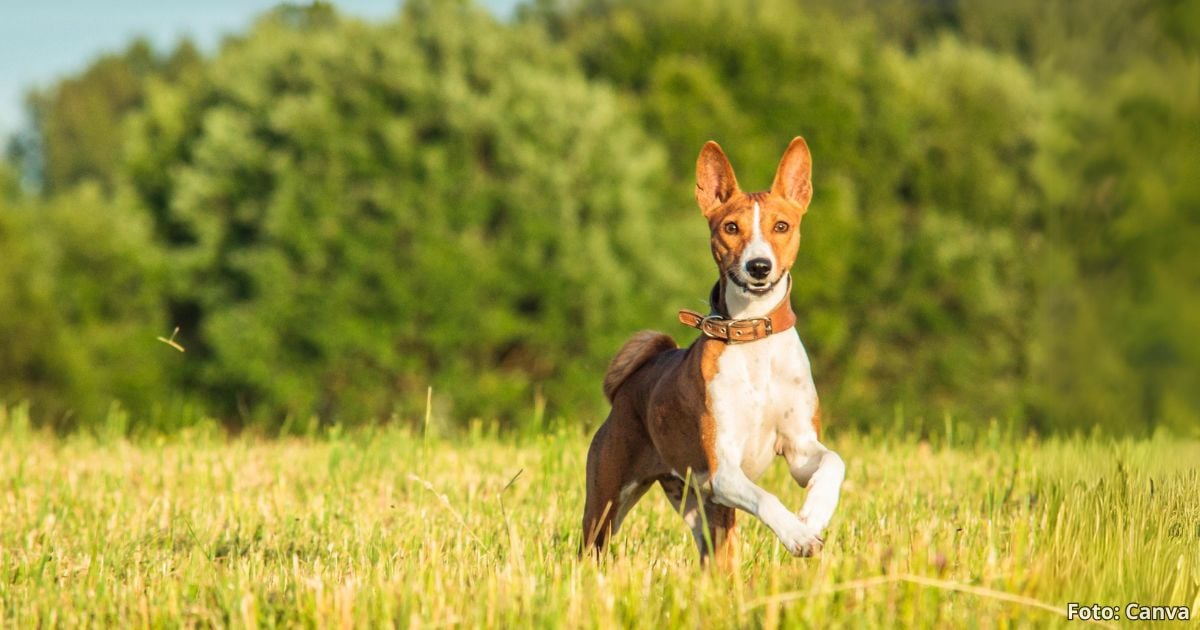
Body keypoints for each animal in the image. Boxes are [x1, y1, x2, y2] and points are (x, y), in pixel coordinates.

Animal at [580, 136, 844, 564]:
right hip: (608, 503)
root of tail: (632, 383)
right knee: (591, 547)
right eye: (731, 228)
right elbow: (767, 498)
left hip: (701, 509)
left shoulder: (800, 448)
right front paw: (797, 535)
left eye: (782, 226)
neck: (753, 339)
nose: (758, 266)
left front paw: (813, 515)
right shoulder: (723, 469)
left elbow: (834, 462)